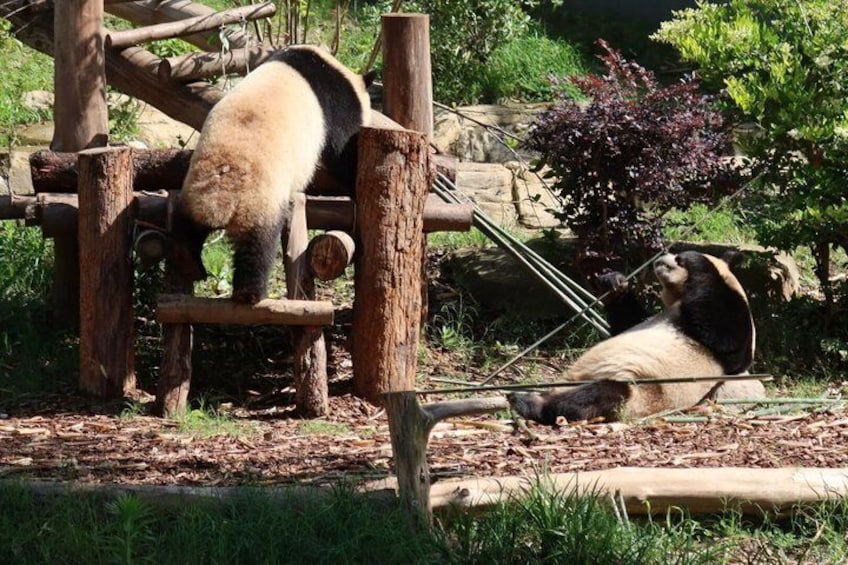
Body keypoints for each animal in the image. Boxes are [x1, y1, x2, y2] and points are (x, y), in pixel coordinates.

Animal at [169, 45, 375, 304]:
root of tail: (223, 189)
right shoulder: (336, 103)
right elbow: (342, 151)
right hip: (259, 199)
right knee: (258, 245)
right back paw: (250, 293)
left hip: (196, 186)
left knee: (188, 226)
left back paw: (189, 263)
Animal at [508, 250, 764, 425]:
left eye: (677, 258)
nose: (662, 257)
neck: (679, 297)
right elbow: (627, 323)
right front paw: (614, 283)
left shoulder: (736, 334)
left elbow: (724, 336)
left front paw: (694, 259)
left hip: (642, 389)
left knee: (598, 397)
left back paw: (528, 402)